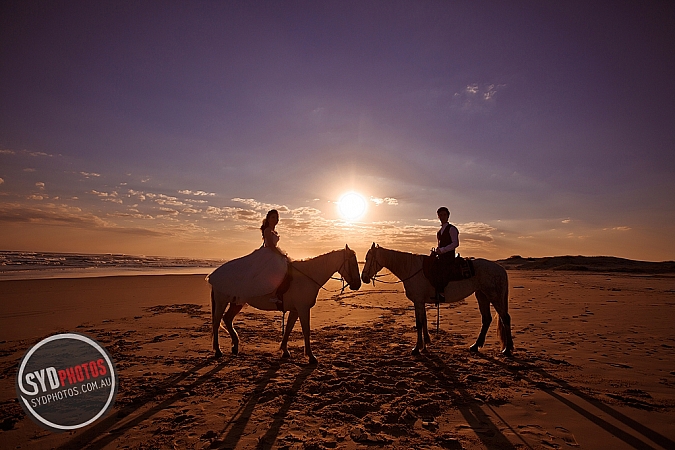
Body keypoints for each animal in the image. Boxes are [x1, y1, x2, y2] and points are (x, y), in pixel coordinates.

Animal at [211, 244, 362, 364]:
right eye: (353, 264)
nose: (357, 285)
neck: (307, 276)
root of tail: (214, 274)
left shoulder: (295, 310)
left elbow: (289, 328)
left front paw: (285, 351)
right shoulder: (303, 309)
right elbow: (306, 330)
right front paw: (311, 357)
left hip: (237, 302)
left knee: (227, 319)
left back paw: (235, 346)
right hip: (221, 301)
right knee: (217, 321)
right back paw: (218, 350)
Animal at [362, 244, 516, 356]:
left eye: (368, 258)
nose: (364, 278)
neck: (411, 269)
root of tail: (501, 269)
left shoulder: (418, 301)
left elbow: (419, 323)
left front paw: (416, 349)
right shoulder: (421, 302)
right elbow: (424, 321)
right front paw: (425, 345)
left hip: (494, 296)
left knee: (505, 318)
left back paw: (507, 349)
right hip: (482, 295)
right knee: (487, 319)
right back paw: (475, 346)